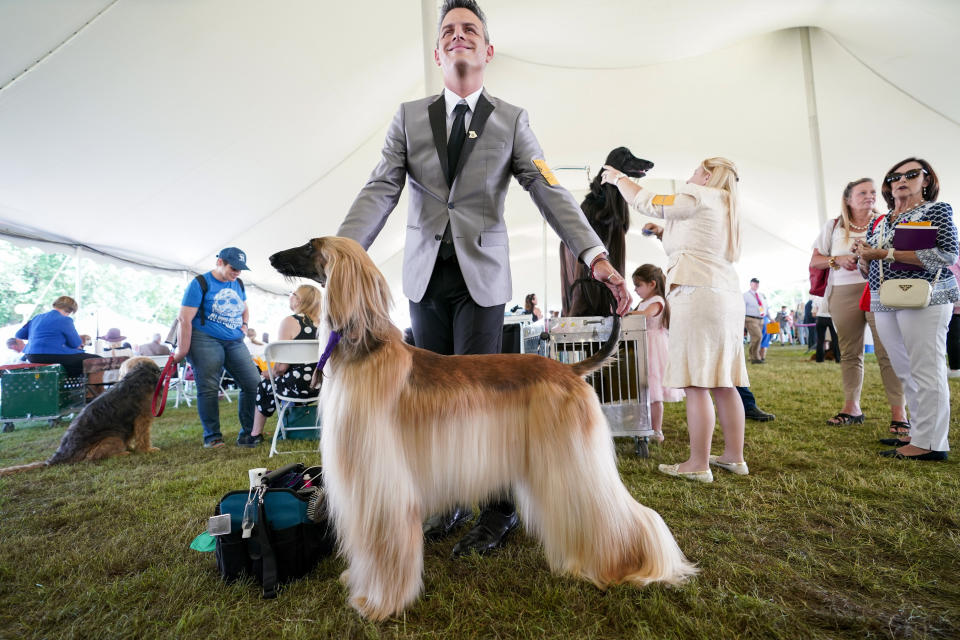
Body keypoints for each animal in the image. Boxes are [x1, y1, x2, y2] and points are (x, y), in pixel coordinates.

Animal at [0, 356, 161, 476]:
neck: (138, 375)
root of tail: (58, 457)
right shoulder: (143, 419)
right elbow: (143, 437)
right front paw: (147, 450)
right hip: (112, 439)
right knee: (91, 457)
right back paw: (121, 454)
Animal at [266, 238, 692, 624]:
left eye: (309, 247)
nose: (271, 258)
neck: (367, 350)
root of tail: (569, 369)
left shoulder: (379, 480)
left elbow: (384, 544)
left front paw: (378, 602)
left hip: (574, 458)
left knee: (623, 514)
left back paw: (638, 566)